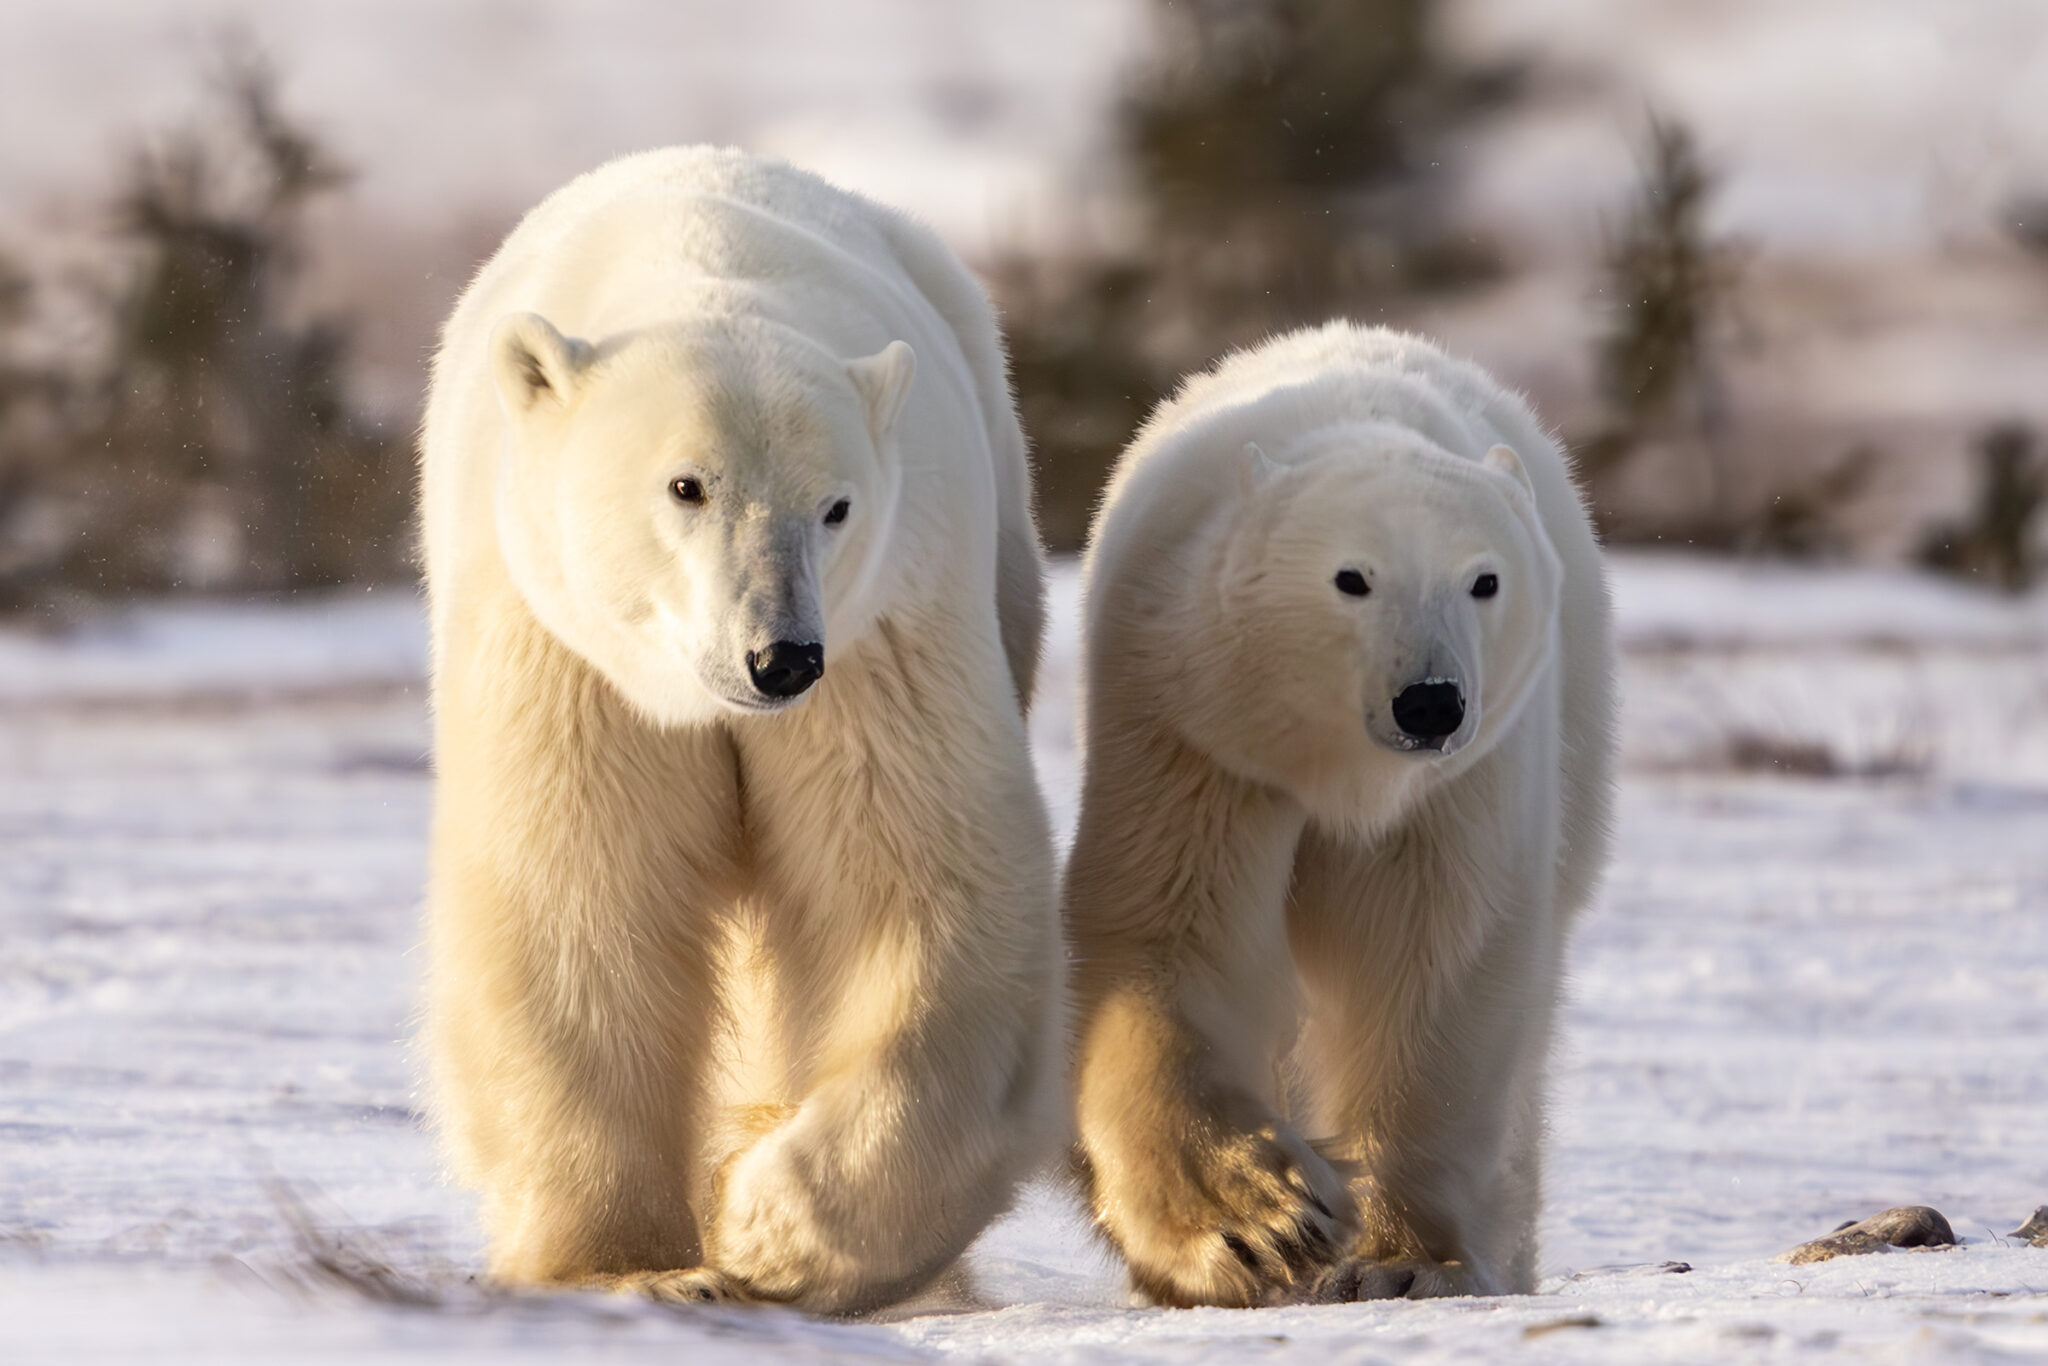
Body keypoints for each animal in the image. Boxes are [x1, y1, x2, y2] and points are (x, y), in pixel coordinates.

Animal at [417, 147, 1065, 1314]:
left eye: (835, 506)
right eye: (687, 485)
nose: (780, 656)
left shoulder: (885, 633)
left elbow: (911, 887)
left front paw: (769, 1224)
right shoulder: (567, 655)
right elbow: (578, 900)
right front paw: (636, 1267)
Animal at [1062, 322, 1614, 1308]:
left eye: (1484, 580)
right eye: (1350, 578)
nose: (1429, 702)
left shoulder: (1457, 785)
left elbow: (1433, 953)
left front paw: (1404, 1260)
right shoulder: (1194, 724)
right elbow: (1170, 930)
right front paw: (1258, 1226)